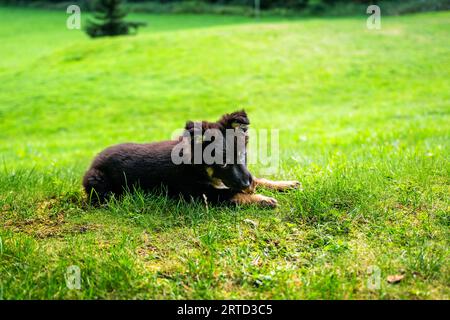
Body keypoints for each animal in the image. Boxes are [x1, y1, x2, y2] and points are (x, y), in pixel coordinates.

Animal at [83, 110, 298, 208]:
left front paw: (284, 184)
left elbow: (260, 178)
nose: (247, 185)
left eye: (242, 155)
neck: (197, 167)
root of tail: (95, 159)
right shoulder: (199, 193)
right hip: (98, 181)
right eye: (222, 163)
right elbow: (231, 193)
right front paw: (261, 199)